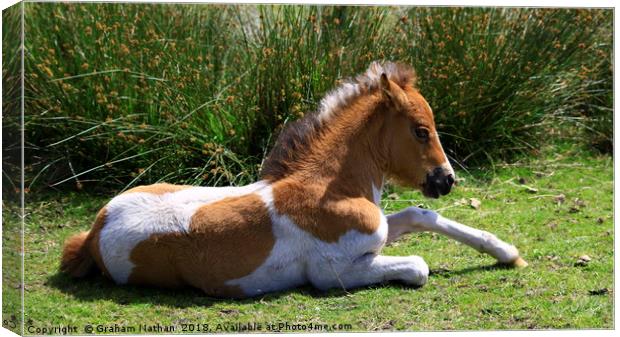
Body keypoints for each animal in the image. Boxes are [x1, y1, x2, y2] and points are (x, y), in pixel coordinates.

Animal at [61, 61, 528, 298]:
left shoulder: (378, 227)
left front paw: (507, 252)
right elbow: (418, 266)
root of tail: (94, 231)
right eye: (420, 130)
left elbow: (420, 214)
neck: (332, 188)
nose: (446, 180)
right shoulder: (332, 271)